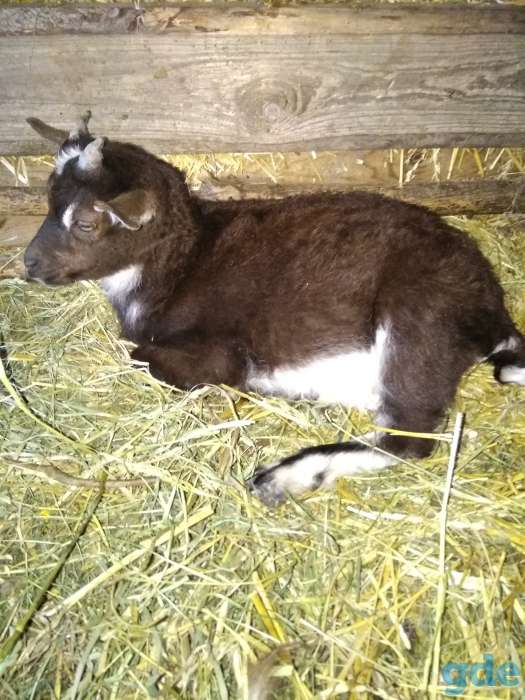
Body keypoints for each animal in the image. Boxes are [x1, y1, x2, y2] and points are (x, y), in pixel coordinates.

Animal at [24, 114, 525, 506]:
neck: (183, 262)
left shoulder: (218, 354)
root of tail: (492, 305)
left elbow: (143, 358)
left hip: (417, 321)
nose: (29, 263)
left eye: (86, 222)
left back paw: (283, 477)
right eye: (48, 201)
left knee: (409, 435)